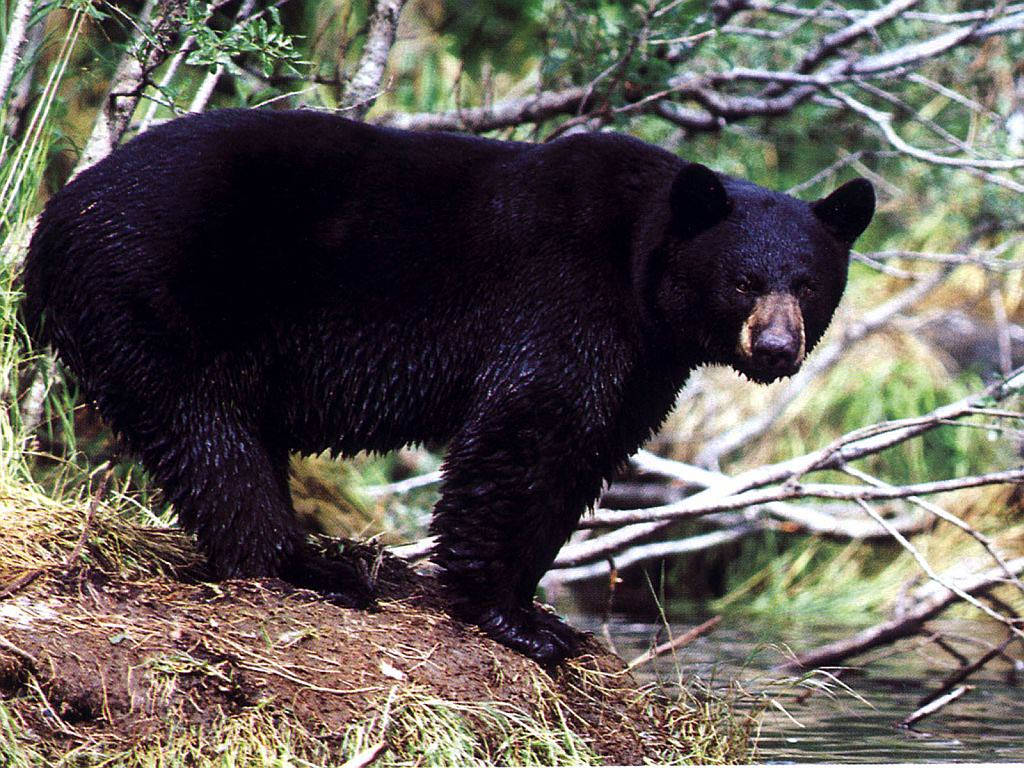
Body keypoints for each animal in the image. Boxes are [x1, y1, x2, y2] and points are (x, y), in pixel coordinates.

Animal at [21, 108, 874, 663]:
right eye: (742, 281)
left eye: (808, 283)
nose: (775, 346)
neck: (639, 262)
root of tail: (52, 223)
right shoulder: (562, 298)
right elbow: (528, 429)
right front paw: (512, 615)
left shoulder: (643, 359)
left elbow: (585, 453)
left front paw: (536, 601)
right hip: (159, 294)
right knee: (208, 432)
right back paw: (307, 567)